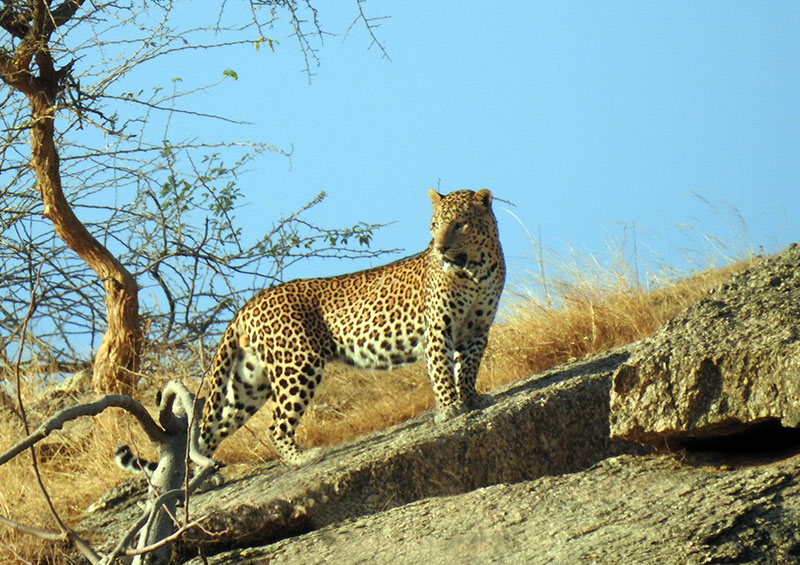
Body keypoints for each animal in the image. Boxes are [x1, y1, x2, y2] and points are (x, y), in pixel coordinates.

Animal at [117, 187, 506, 470]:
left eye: (460, 224)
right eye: (435, 225)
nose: (439, 247)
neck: (475, 269)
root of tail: (249, 303)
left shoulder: (477, 330)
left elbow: (468, 368)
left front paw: (472, 398)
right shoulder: (438, 329)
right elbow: (442, 371)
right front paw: (449, 409)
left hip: (248, 383)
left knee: (213, 429)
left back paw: (196, 483)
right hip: (297, 364)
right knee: (276, 425)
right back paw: (303, 457)